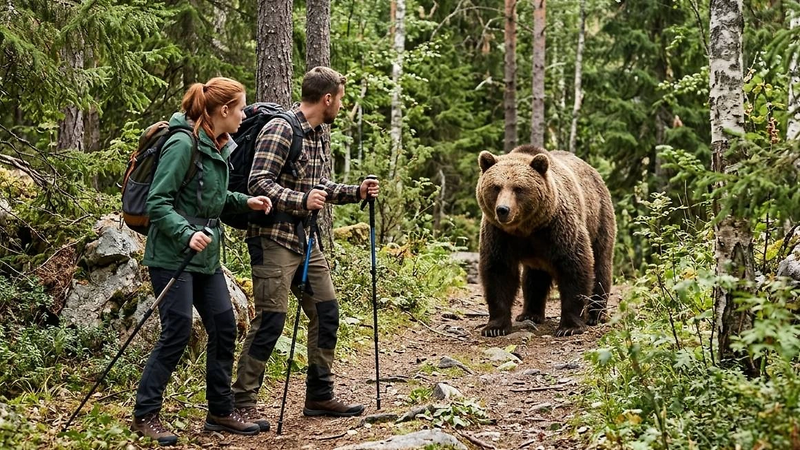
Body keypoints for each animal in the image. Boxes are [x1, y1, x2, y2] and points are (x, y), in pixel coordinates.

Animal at [476, 145, 616, 337]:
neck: (526, 228)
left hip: (599, 217)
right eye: (496, 187)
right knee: (534, 278)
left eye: (518, 188)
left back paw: (596, 315)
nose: (503, 209)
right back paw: (530, 314)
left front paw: (569, 327)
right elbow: (498, 272)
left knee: (601, 264)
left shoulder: (558, 228)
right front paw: (495, 327)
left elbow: (575, 267)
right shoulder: (499, 235)